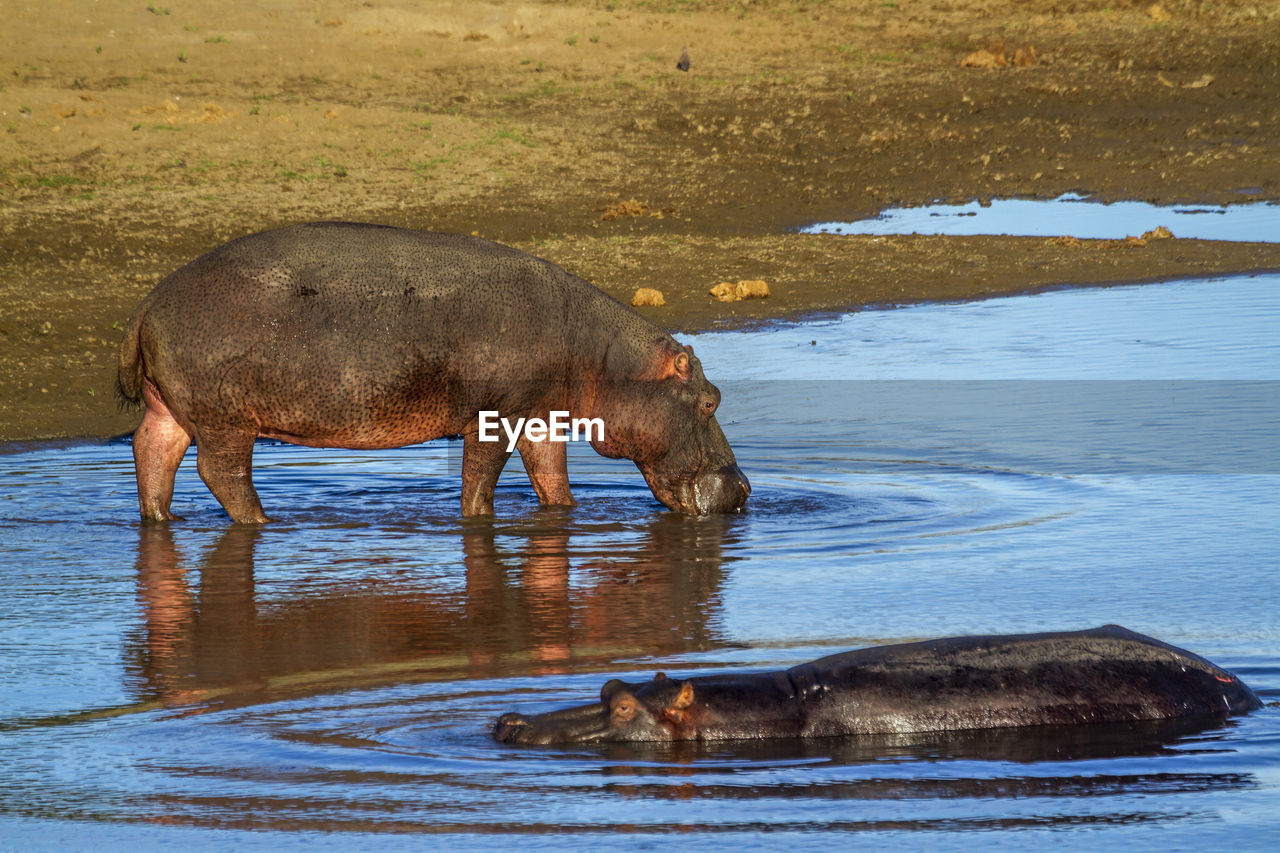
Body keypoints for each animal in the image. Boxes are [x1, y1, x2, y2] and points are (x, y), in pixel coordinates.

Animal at [117, 220, 747, 517]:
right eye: (711, 399)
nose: (743, 488)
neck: (603, 354)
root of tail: (149, 302)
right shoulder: (495, 416)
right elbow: (480, 480)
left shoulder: (540, 416)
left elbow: (552, 478)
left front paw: (565, 514)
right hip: (226, 421)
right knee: (221, 474)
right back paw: (264, 524)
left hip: (170, 408)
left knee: (152, 456)